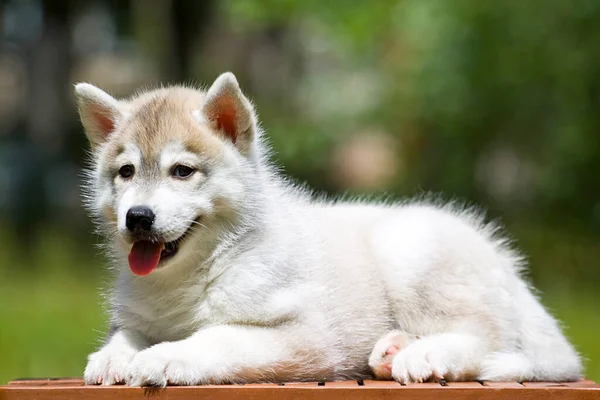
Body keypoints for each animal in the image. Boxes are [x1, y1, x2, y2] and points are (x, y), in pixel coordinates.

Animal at [75, 72, 580, 388]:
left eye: (182, 171)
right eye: (125, 172)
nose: (138, 217)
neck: (197, 273)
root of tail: (508, 269)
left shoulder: (306, 338)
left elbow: (217, 337)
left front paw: (165, 356)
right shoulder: (138, 315)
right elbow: (126, 333)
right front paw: (113, 356)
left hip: (410, 249)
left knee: (487, 340)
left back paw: (424, 355)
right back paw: (393, 349)